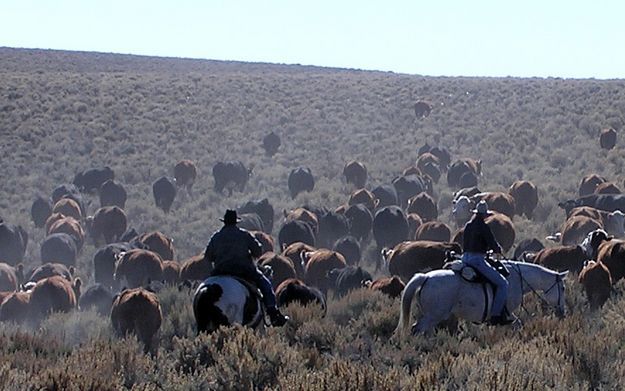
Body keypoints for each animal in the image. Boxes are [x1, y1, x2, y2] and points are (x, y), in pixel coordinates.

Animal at [398, 260, 568, 336]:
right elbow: (515, 324)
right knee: (417, 329)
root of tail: (425, 277)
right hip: (433, 315)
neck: (516, 278)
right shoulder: (506, 312)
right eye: (563, 288)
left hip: (432, 317)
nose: (562, 311)